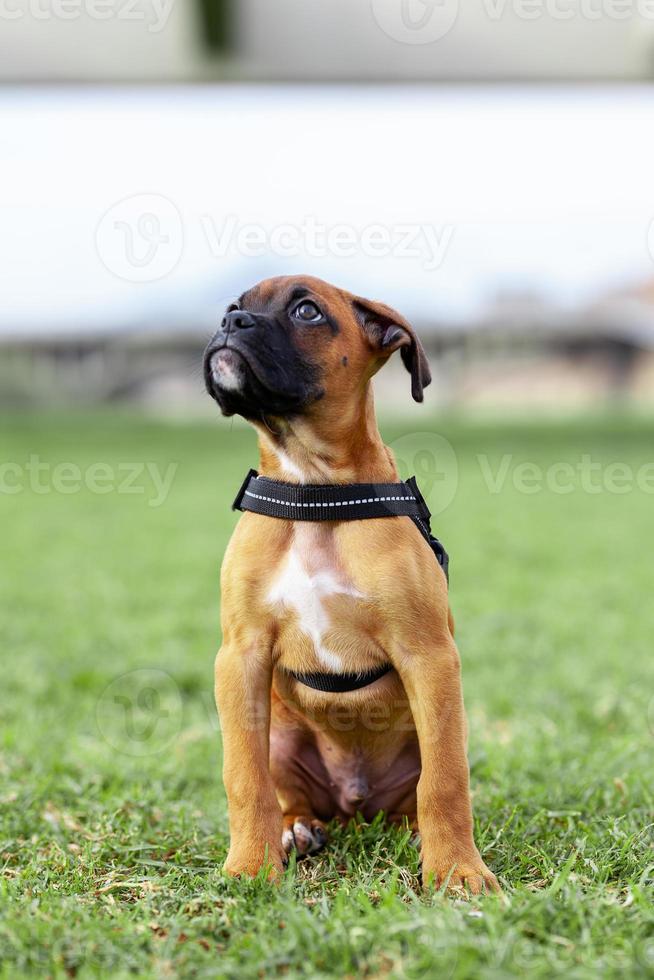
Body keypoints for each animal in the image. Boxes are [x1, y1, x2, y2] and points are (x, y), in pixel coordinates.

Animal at [205, 276, 502, 896]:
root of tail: (353, 806)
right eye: (232, 306)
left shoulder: (429, 657)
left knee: (420, 790)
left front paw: (457, 870)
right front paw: (250, 866)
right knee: (290, 797)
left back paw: (413, 834)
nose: (230, 323)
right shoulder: (239, 657)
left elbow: (446, 782)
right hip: (283, 735)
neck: (314, 492)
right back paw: (295, 830)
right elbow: (244, 777)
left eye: (307, 311)